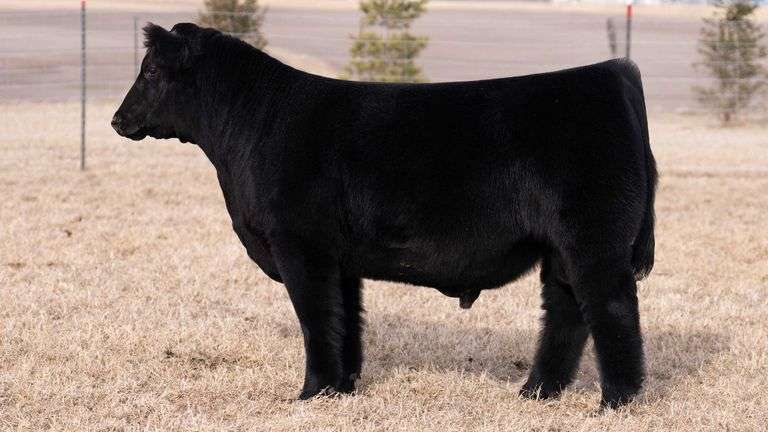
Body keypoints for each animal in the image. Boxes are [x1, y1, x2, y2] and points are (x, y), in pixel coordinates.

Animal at [112, 22, 657, 409]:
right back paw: (537, 393)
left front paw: (311, 392)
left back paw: (616, 402)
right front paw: (342, 387)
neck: (253, 124)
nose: (118, 120)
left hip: (594, 241)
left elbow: (315, 317)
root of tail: (612, 72)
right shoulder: (339, 259)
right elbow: (344, 318)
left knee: (611, 309)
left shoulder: (299, 245)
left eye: (152, 72)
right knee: (566, 312)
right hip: (561, 249)